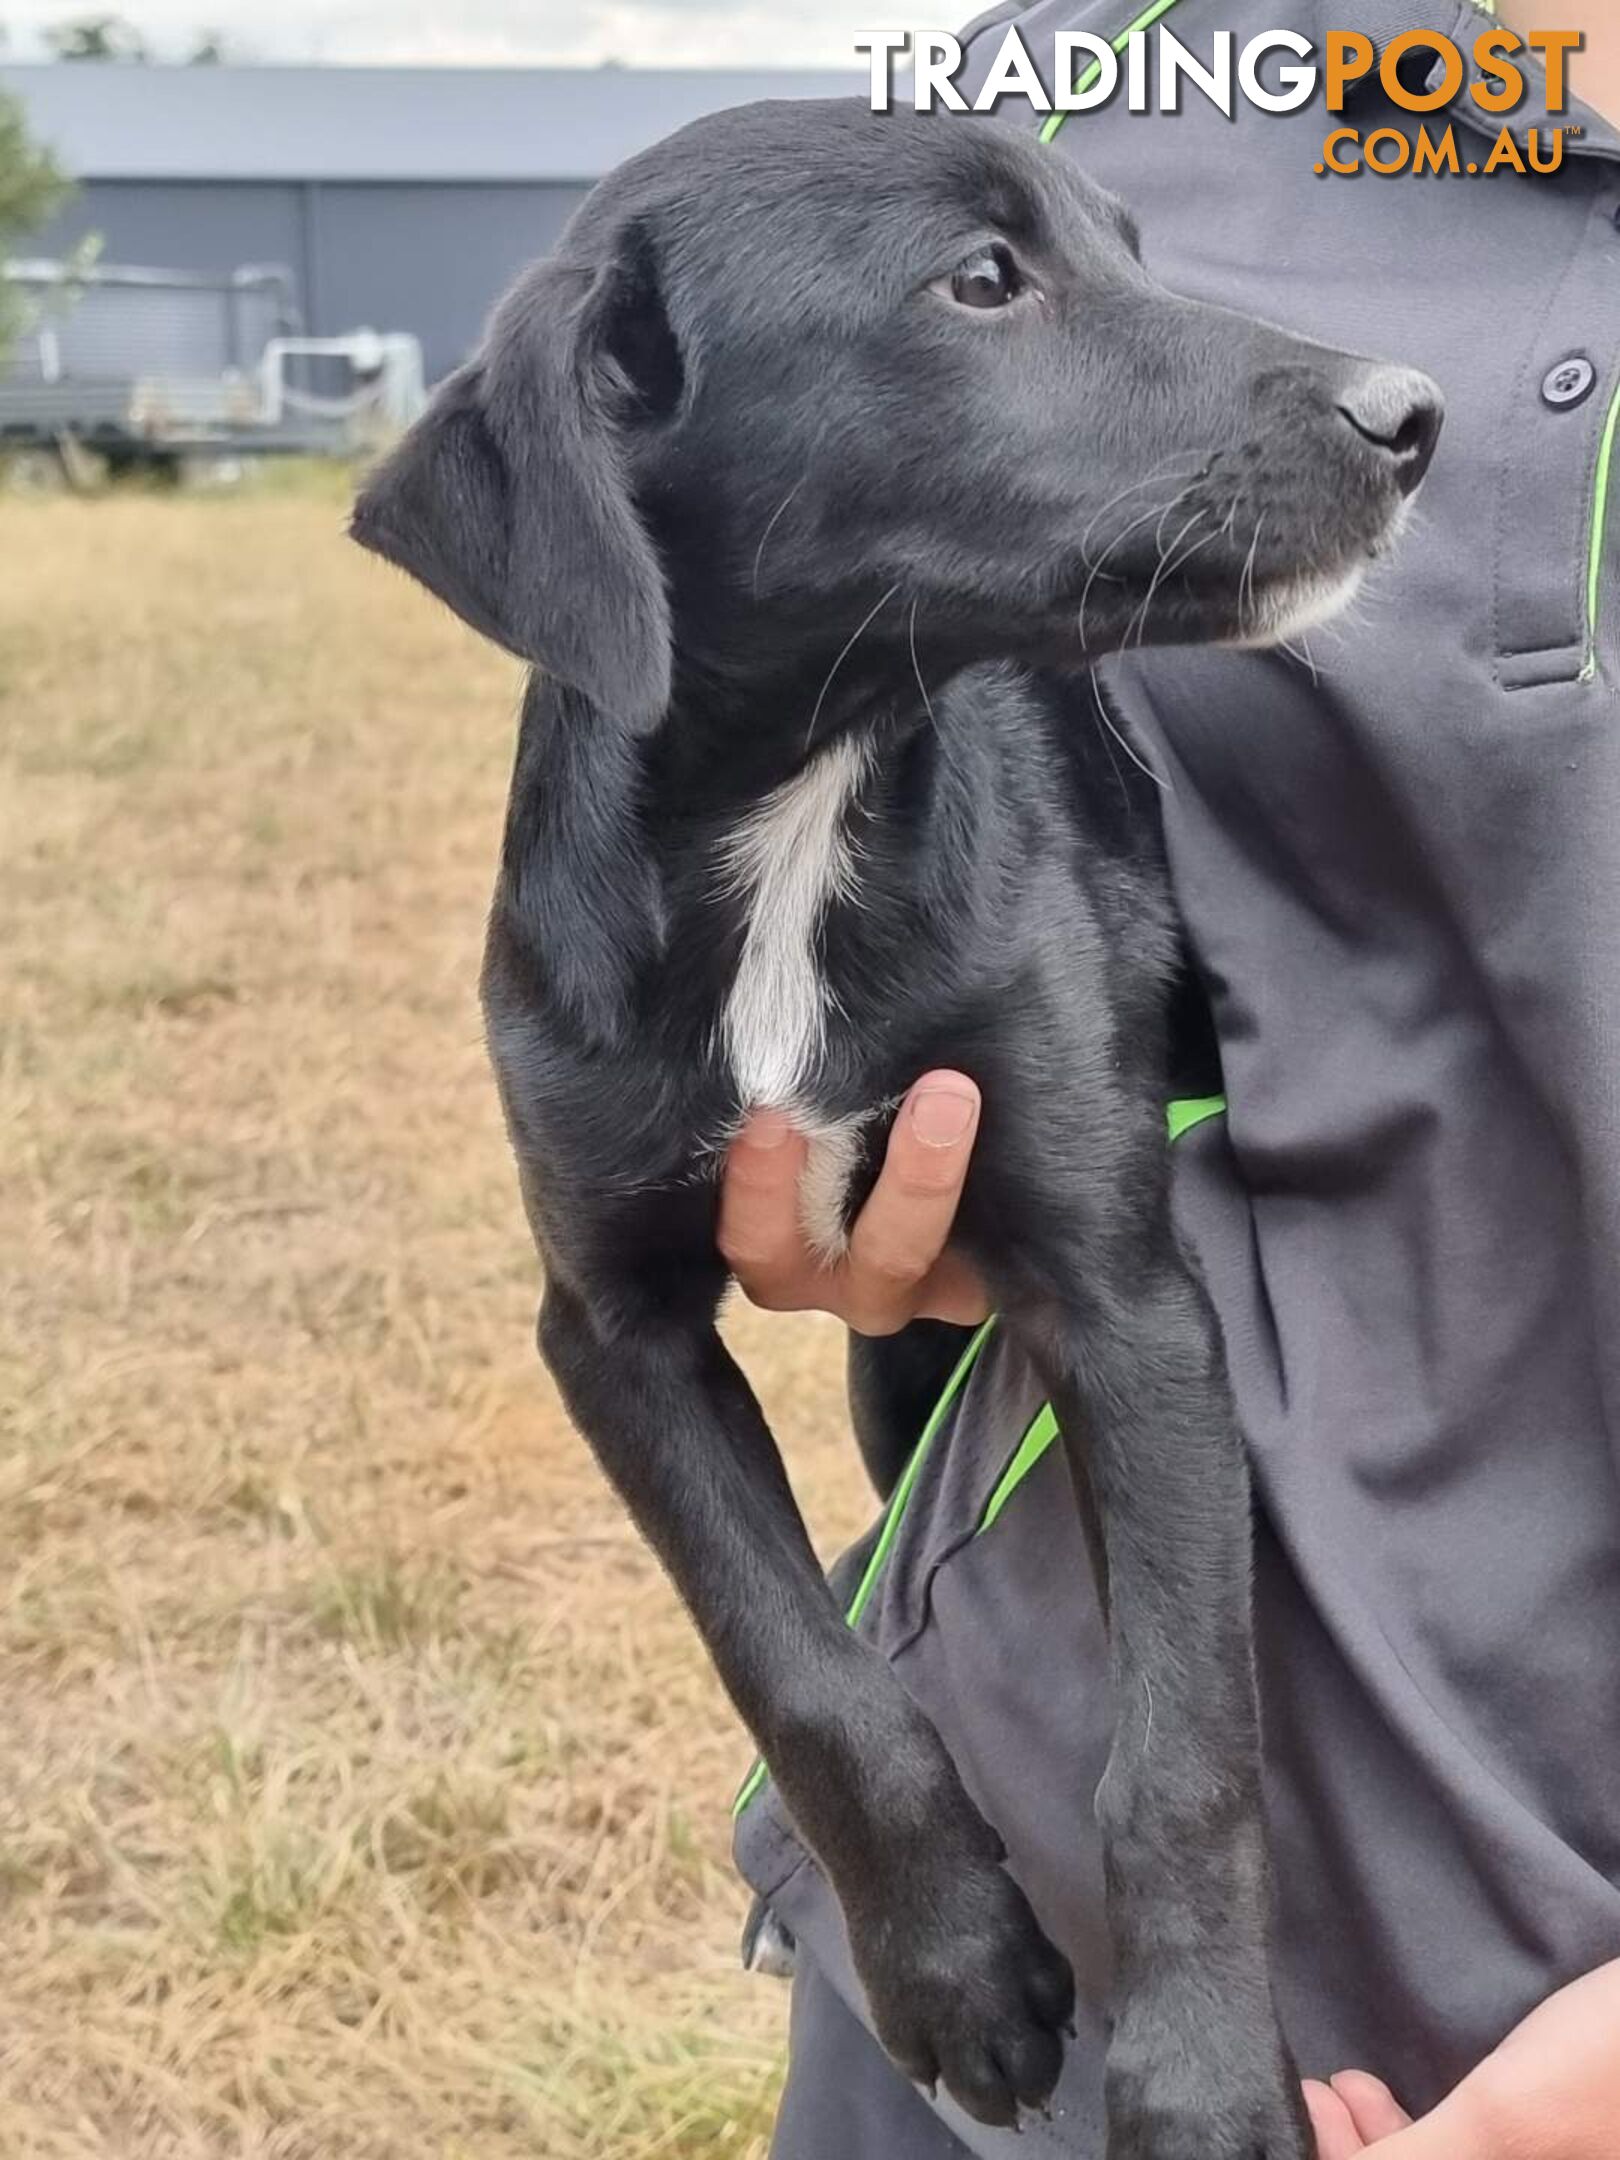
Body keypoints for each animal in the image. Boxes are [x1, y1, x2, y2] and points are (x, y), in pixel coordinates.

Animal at [349, 101, 1442, 2160]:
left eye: (1131, 246)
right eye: (982, 280)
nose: (1412, 412)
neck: (804, 799)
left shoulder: (1123, 1299)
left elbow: (1184, 1742)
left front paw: (1200, 2076)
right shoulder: (610, 1327)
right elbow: (798, 1663)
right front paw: (955, 1968)